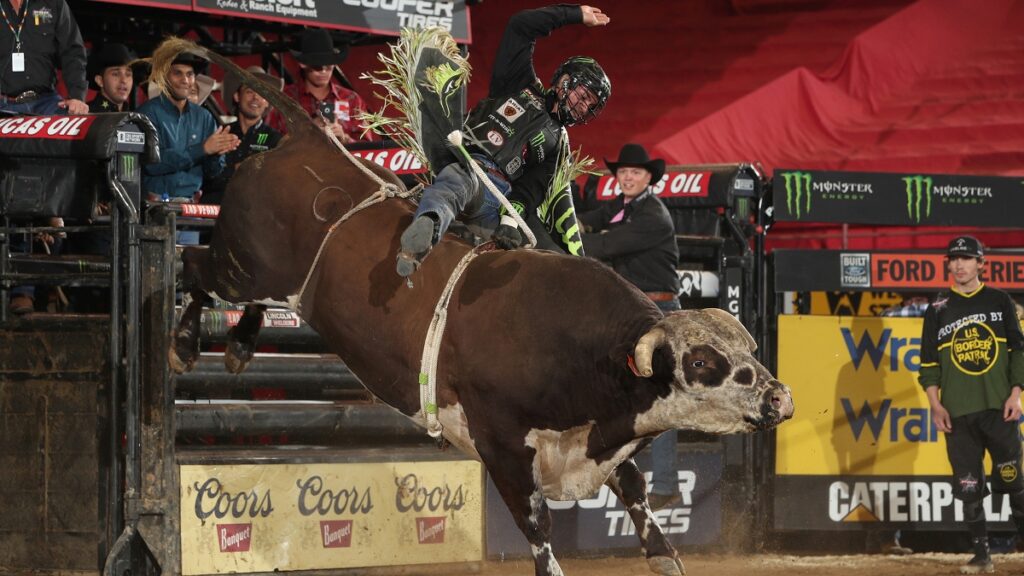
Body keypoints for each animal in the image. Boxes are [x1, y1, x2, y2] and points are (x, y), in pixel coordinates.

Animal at [167, 44, 794, 573]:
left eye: (747, 348)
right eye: (702, 363)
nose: (780, 397)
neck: (585, 352)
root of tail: (303, 139)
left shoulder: (596, 444)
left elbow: (638, 493)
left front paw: (665, 556)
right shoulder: (502, 446)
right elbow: (537, 527)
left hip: (272, 280)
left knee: (246, 298)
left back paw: (240, 345)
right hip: (241, 261)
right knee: (191, 266)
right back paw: (182, 345)